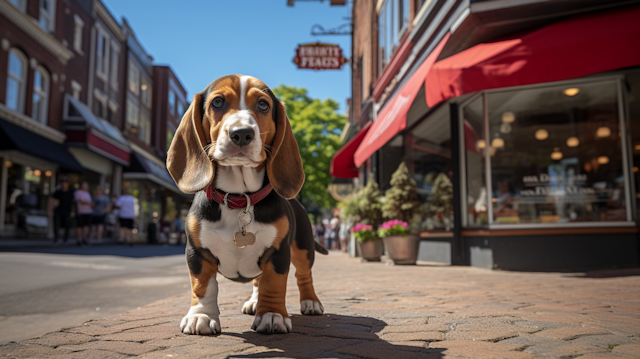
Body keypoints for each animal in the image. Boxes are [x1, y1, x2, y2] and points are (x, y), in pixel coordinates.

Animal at [168, 74, 328, 336]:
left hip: (303, 247)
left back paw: (311, 302)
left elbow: (273, 283)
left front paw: (272, 315)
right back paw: (254, 302)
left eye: (263, 105)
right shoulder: (196, 252)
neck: (238, 197)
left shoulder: (278, 252)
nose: (241, 133)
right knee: (256, 280)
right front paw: (201, 315)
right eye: (218, 102)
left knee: (304, 274)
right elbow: (202, 286)